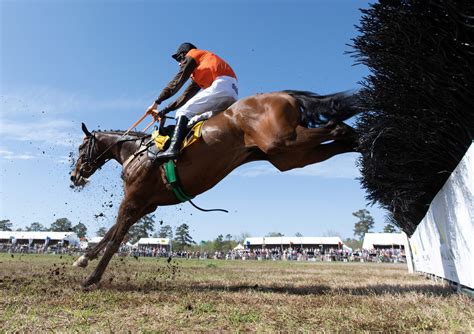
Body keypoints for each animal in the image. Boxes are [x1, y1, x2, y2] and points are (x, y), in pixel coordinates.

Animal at [70, 89, 360, 288]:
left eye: (81, 147)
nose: (74, 176)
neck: (137, 152)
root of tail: (285, 94)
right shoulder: (144, 205)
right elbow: (112, 231)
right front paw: (83, 259)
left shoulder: (133, 200)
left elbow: (116, 237)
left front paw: (91, 278)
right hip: (287, 156)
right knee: (342, 138)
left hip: (282, 142)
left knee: (337, 127)